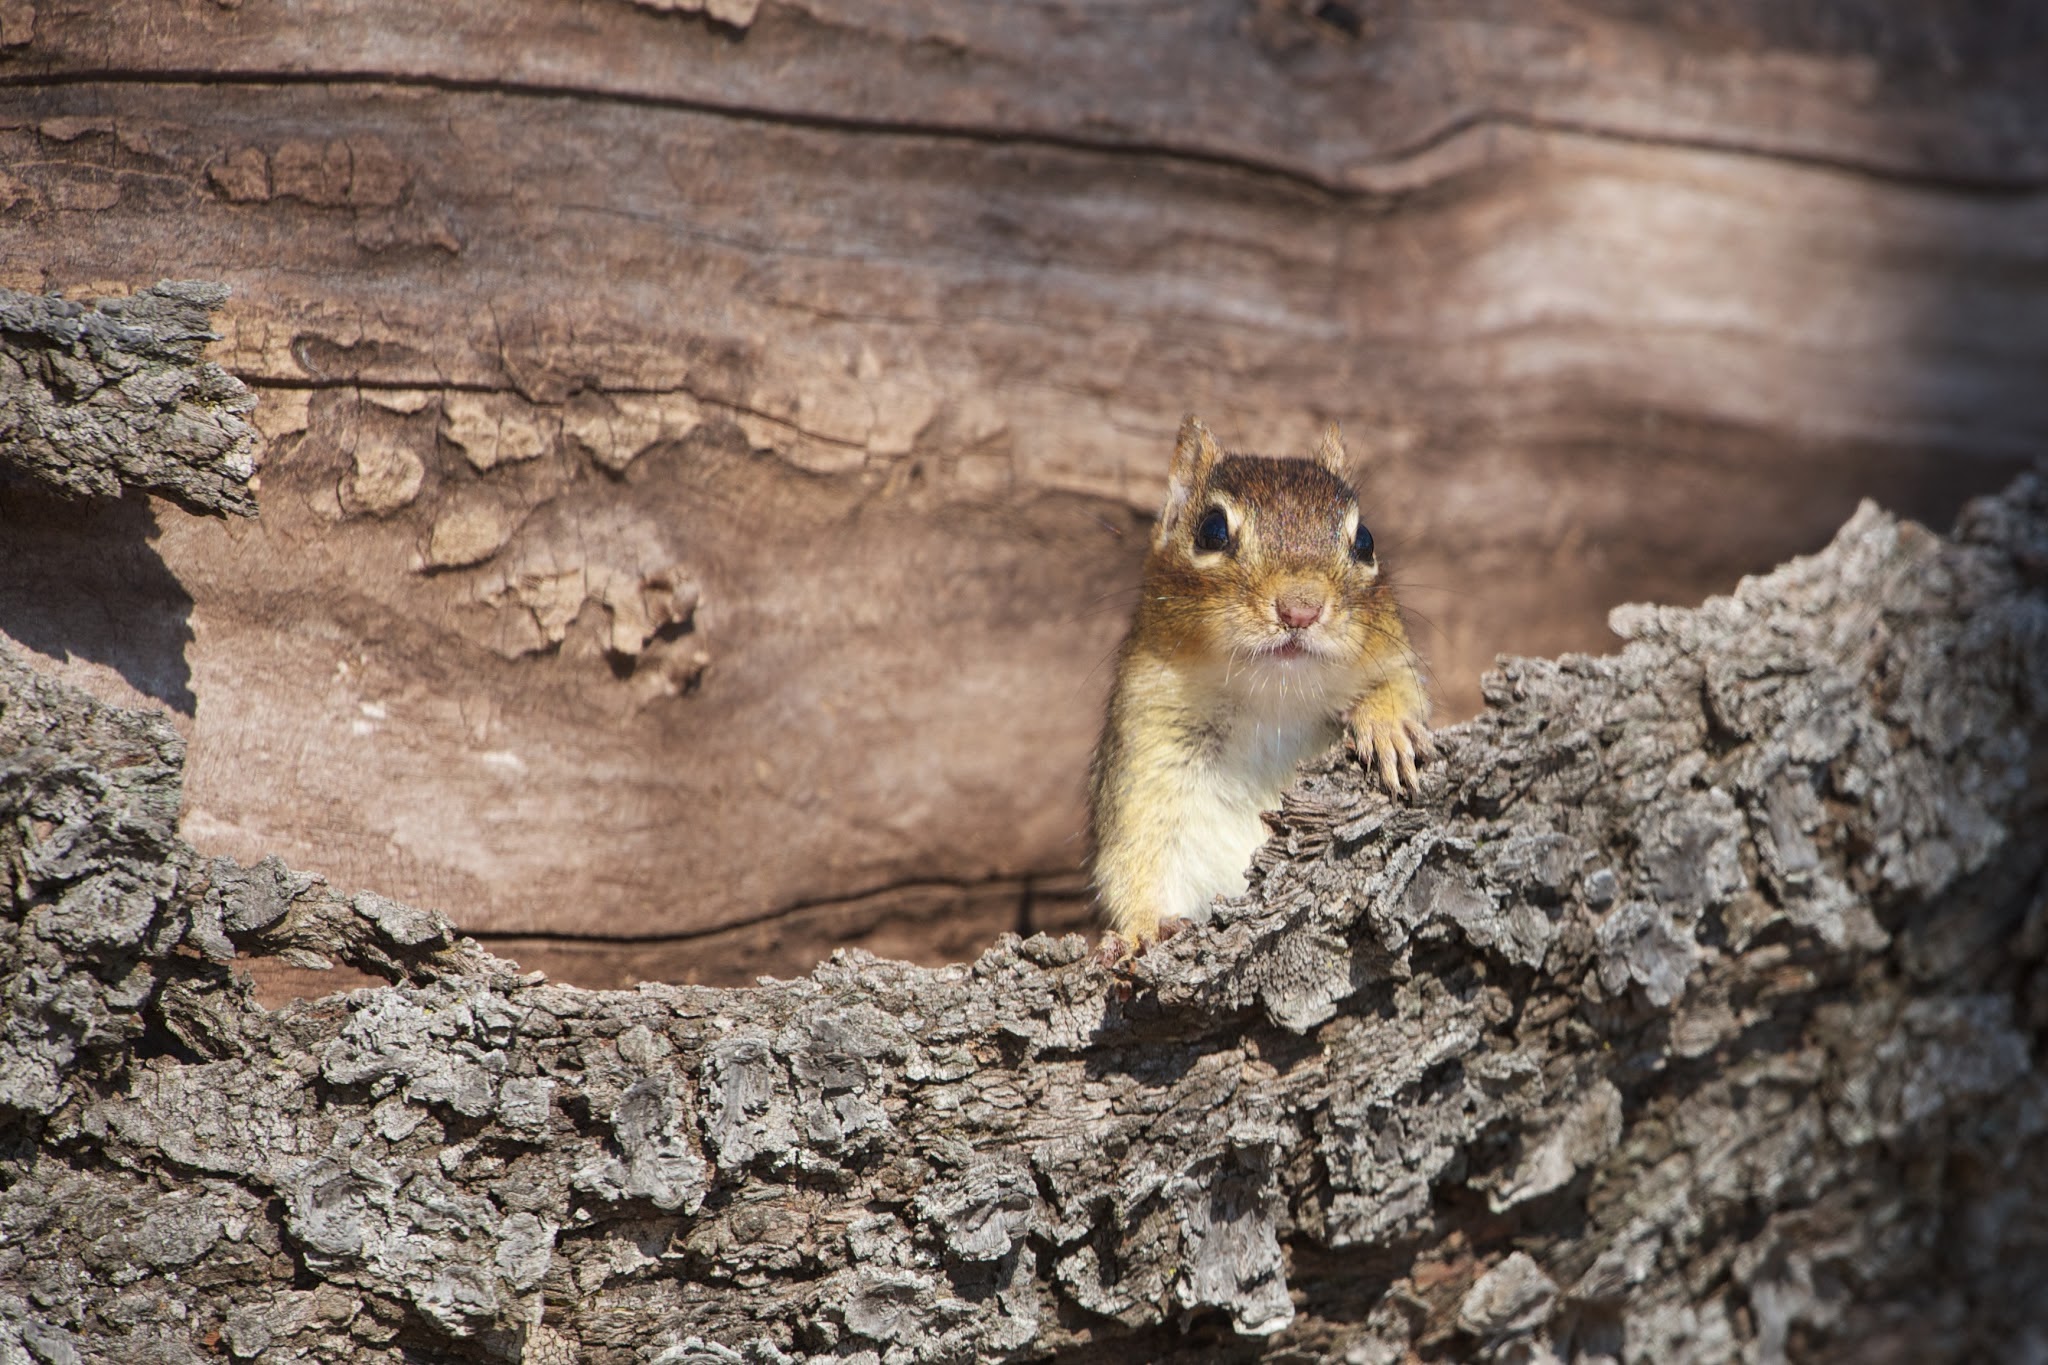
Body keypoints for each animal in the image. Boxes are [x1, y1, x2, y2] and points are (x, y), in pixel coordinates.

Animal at [1088, 415, 1433, 950]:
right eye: (1211, 530)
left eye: (1366, 541)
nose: (1301, 608)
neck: (1271, 703)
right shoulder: (1146, 750)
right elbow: (1134, 859)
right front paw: (1142, 930)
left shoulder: (1393, 657)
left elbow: (1401, 688)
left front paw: (1387, 726)